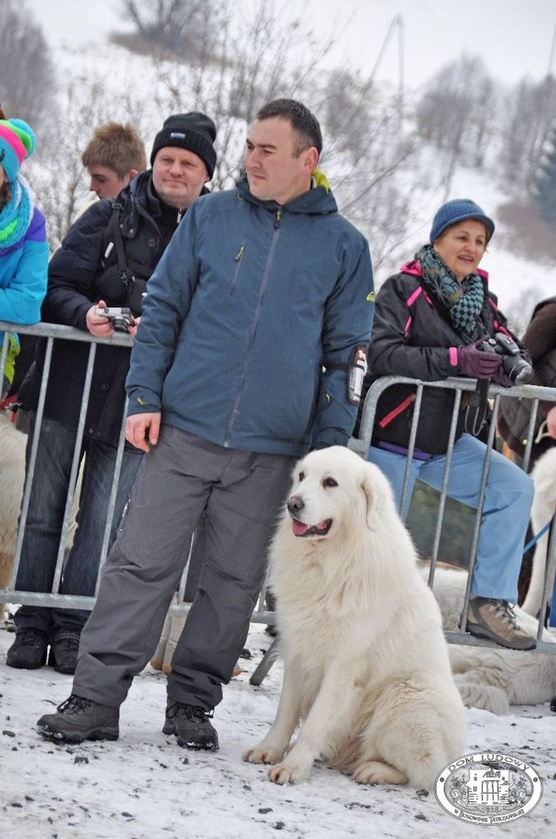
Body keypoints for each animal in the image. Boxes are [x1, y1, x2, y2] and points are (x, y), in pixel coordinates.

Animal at [245, 450, 466, 792]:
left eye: (330, 482)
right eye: (301, 477)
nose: (293, 503)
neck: (330, 561)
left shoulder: (342, 667)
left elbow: (315, 722)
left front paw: (294, 767)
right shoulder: (297, 653)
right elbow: (286, 712)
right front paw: (270, 749)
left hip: (404, 699)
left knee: (426, 772)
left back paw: (374, 771)